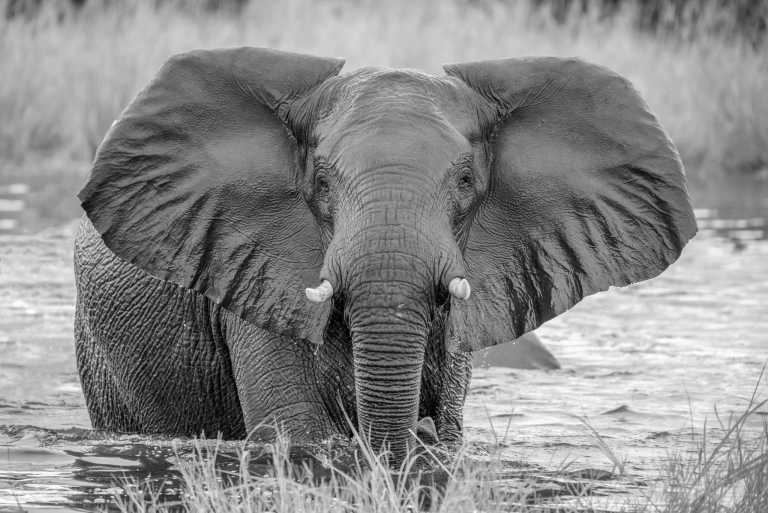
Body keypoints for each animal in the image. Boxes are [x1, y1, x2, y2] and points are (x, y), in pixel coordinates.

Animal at [74, 47, 697, 462]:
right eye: (322, 182)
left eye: (466, 180)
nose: (417, 430)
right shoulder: (248, 263)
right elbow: (295, 433)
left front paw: (429, 441)